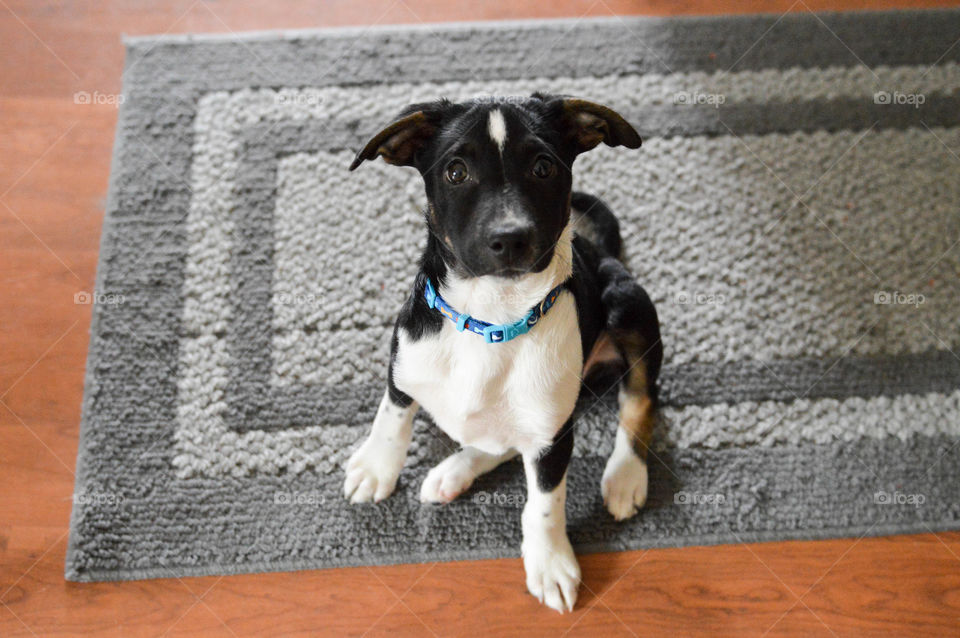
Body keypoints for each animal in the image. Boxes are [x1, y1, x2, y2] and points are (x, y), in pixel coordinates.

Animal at [342, 95, 664, 616]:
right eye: (456, 172)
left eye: (543, 167)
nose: (510, 237)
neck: (492, 318)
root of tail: (604, 251)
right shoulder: (404, 358)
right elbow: (392, 415)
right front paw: (376, 468)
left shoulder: (553, 435)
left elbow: (545, 503)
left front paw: (550, 563)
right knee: (502, 442)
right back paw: (453, 471)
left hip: (630, 305)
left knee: (640, 397)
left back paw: (626, 476)